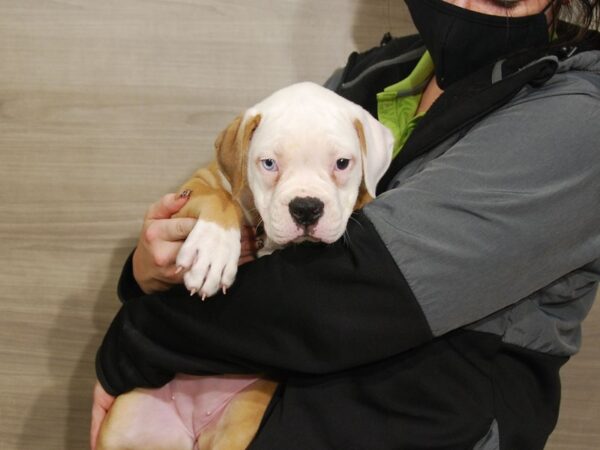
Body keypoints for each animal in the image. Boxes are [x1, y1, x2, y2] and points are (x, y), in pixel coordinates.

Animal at [98, 83, 394, 450]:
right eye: (268, 163)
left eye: (342, 163)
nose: (306, 208)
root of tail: (192, 428)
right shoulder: (193, 190)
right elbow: (219, 198)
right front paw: (213, 250)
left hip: (237, 424)